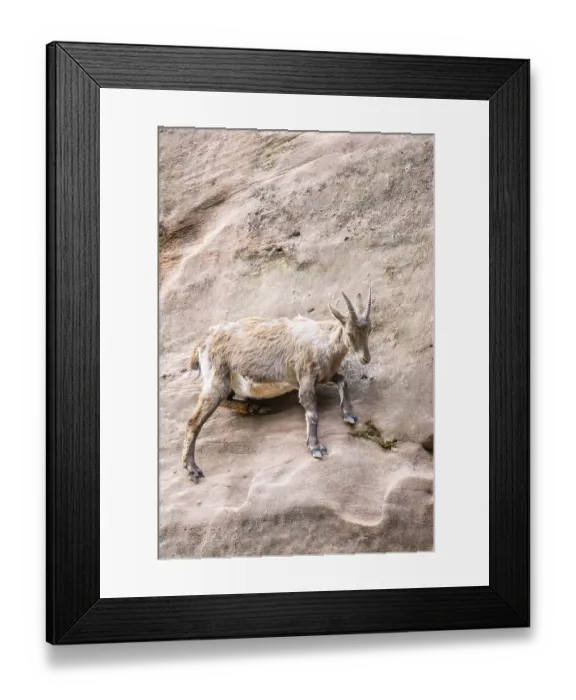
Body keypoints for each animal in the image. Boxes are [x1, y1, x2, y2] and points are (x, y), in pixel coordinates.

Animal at [182, 287, 373, 482]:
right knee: (193, 421)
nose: (365, 358)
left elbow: (343, 380)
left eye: (369, 330)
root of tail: (203, 343)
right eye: (350, 333)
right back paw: (192, 468)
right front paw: (316, 448)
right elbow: (312, 413)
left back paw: (255, 407)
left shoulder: (324, 376)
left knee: (224, 401)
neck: (323, 342)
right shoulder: (305, 377)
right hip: (217, 379)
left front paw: (349, 415)